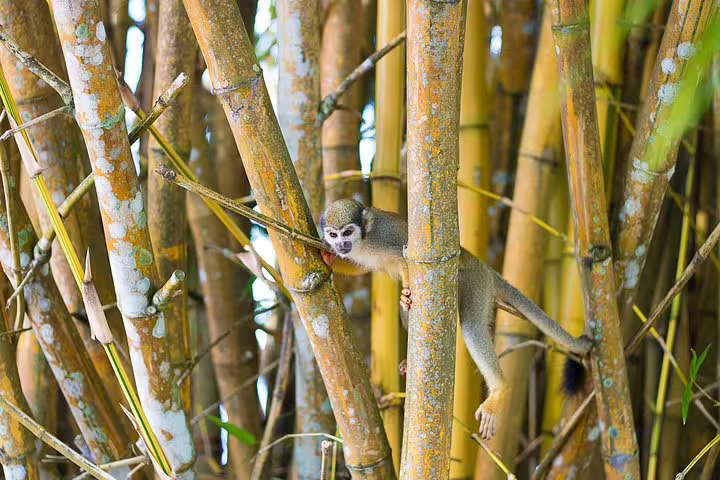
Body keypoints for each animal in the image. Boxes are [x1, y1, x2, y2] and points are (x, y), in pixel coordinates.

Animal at [319, 198, 593, 440]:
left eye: (347, 232)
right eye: (333, 235)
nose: (341, 244)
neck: (364, 241)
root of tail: (482, 265)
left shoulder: (385, 235)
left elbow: (406, 256)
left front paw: (407, 291)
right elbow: (360, 266)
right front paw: (329, 258)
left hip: (475, 282)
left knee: (472, 326)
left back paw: (500, 390)